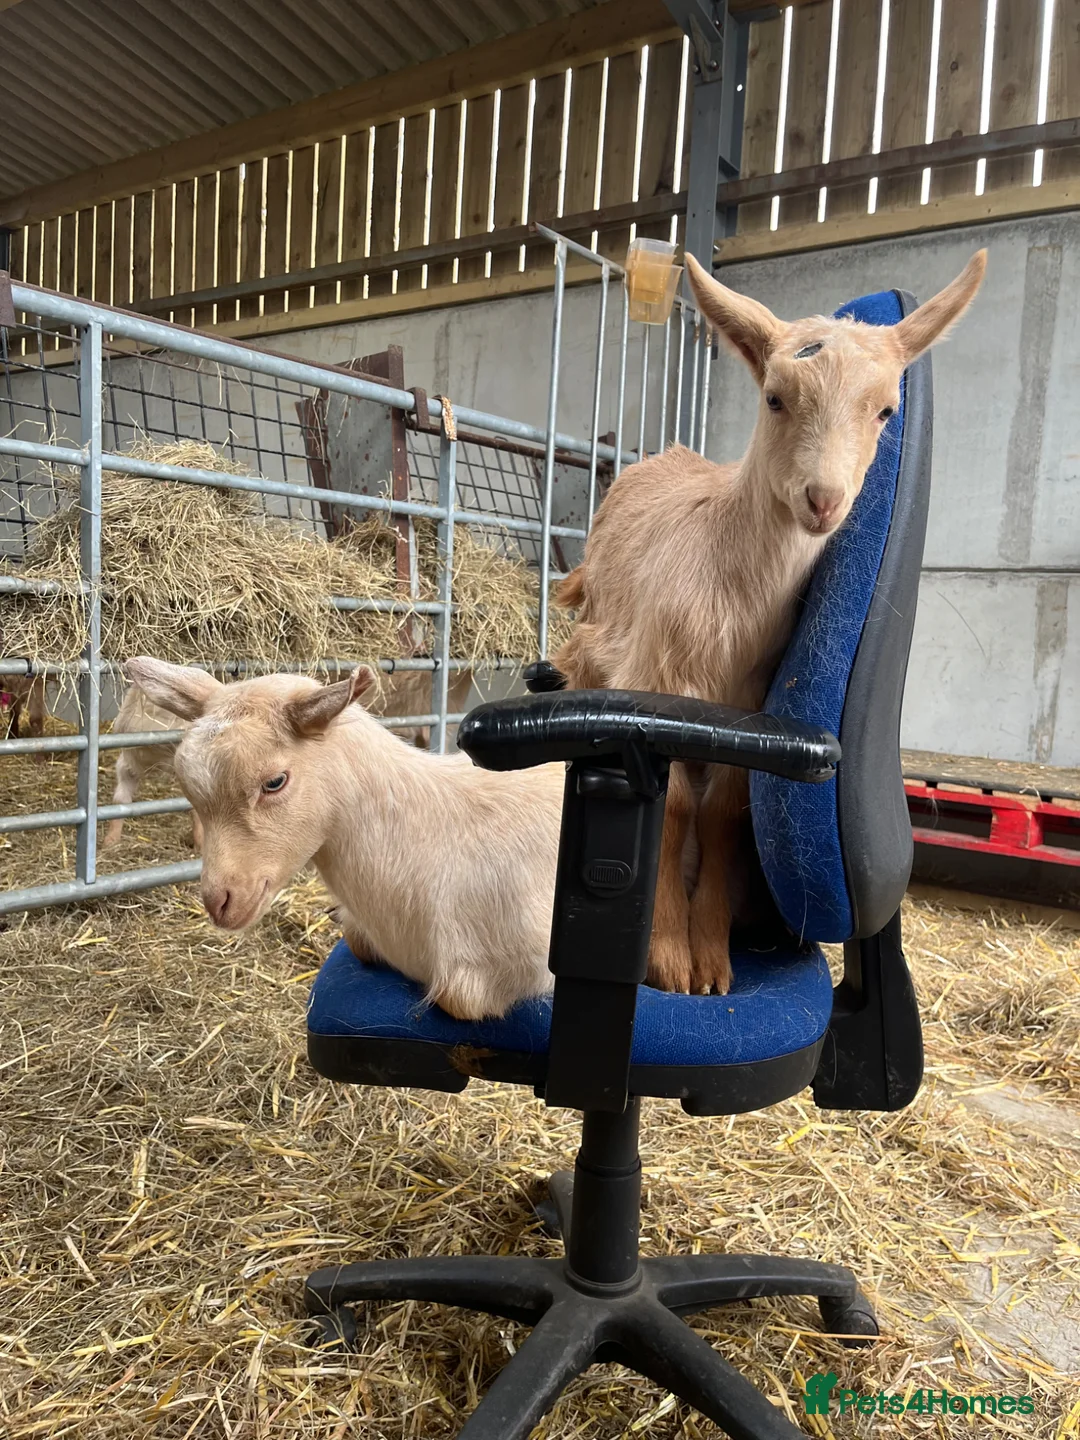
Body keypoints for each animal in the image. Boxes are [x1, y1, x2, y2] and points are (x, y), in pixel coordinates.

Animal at [554, 250, 987, 996]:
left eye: (886, 410)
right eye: (776, 397)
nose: (823, 499)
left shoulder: (752, 716)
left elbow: (726, 812)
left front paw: (709, 956)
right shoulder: (652, 685)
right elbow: (671, 809)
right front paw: (668, 956)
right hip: (591, 646)